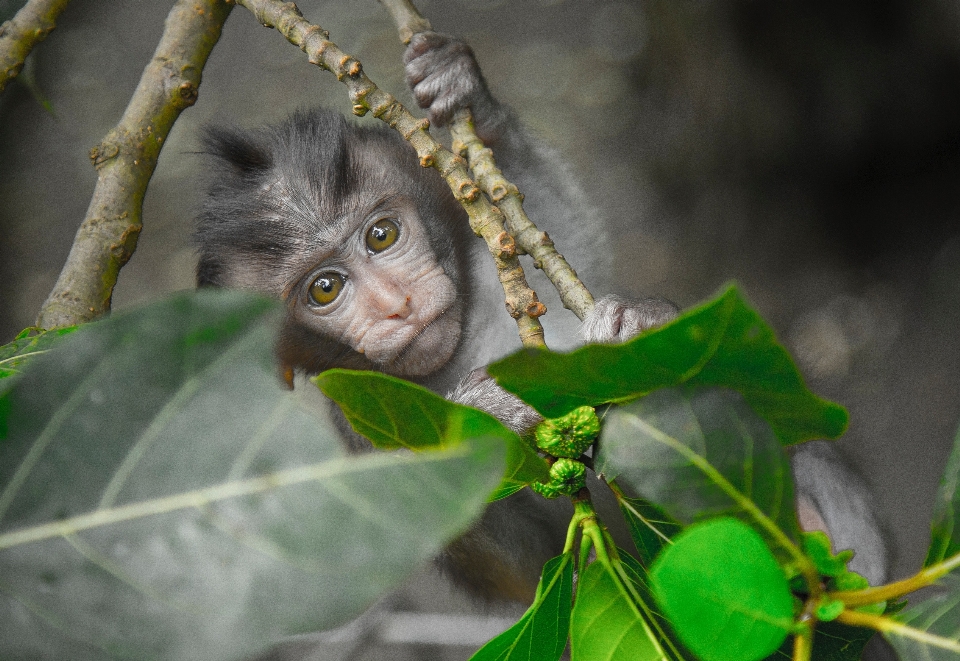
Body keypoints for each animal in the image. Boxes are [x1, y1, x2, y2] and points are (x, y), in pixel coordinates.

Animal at [193, 31, 884, 620]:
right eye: (325, 289)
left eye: (381, 236)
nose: (396, 305)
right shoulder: (356, 427)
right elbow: (525, 570)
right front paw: (487, 413)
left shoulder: (485, 261)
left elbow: (552, 227)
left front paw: (463, 86)